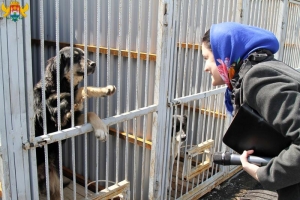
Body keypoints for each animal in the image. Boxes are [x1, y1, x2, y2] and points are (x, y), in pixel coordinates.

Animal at [33, 47, 116, 198]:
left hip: (54, 177)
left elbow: (85, 99)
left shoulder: (71, 121)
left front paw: (104, 90)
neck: (60, 85)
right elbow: (76, 94)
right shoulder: (56, 120)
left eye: (84, 54)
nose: (94, 64)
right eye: (75, 57)